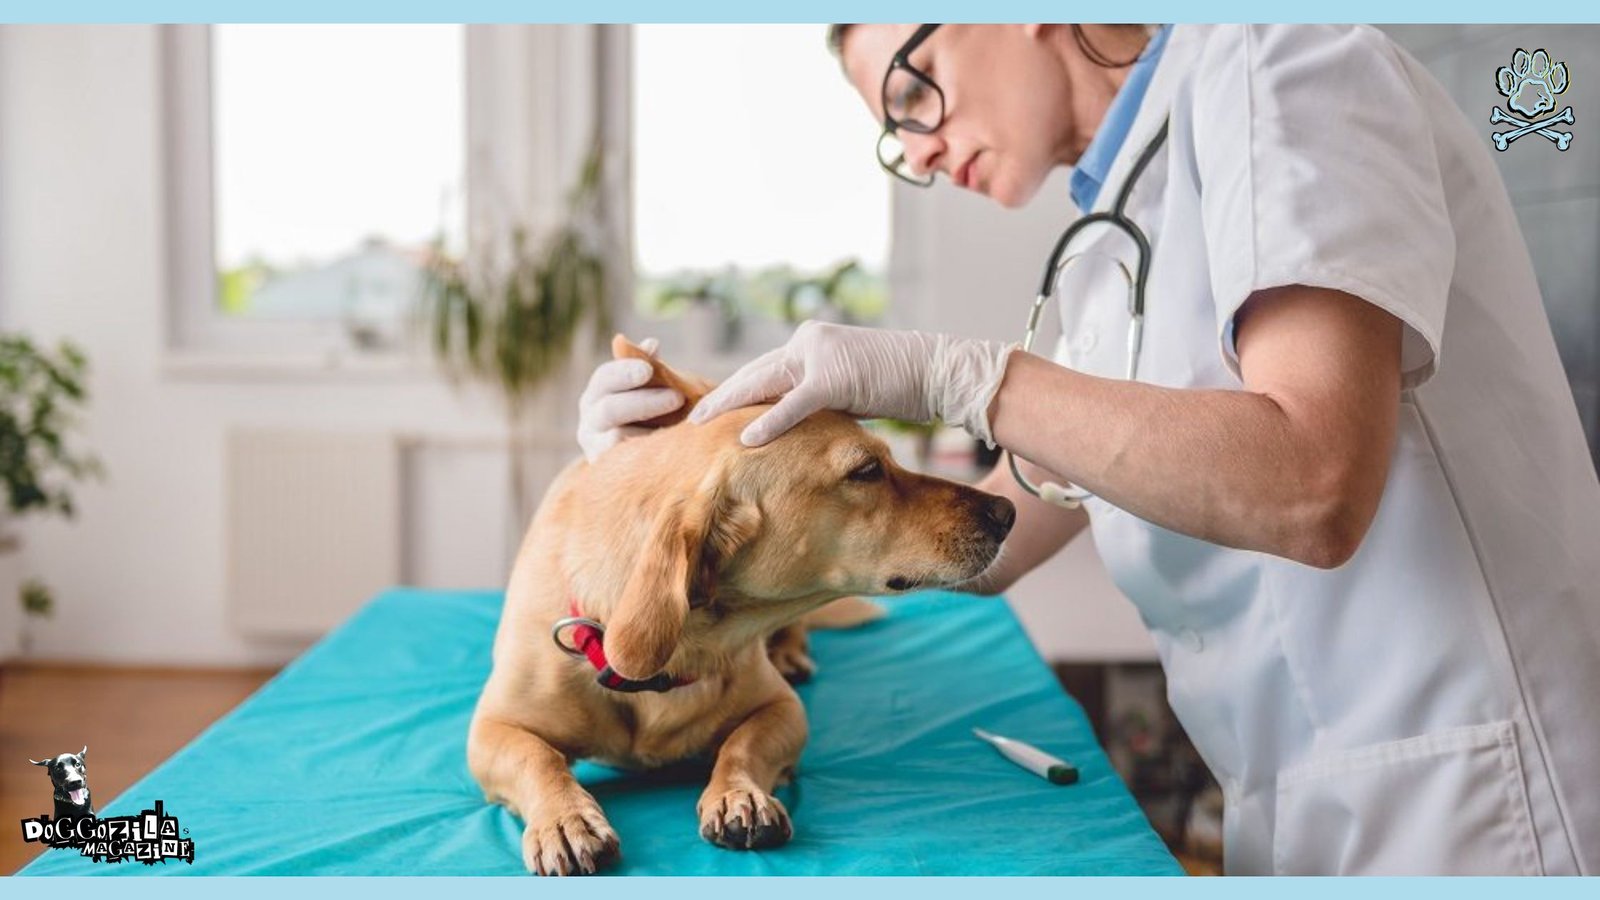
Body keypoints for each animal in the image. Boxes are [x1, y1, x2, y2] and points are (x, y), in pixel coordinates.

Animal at [467, 334, 1011, 871]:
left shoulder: (783, 709)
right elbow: (537, 758)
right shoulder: (491, 730)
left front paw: (738, 793)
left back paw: (790, 652)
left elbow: (742, 746)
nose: (1007, 510)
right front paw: (565, 818)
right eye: (866, 470)